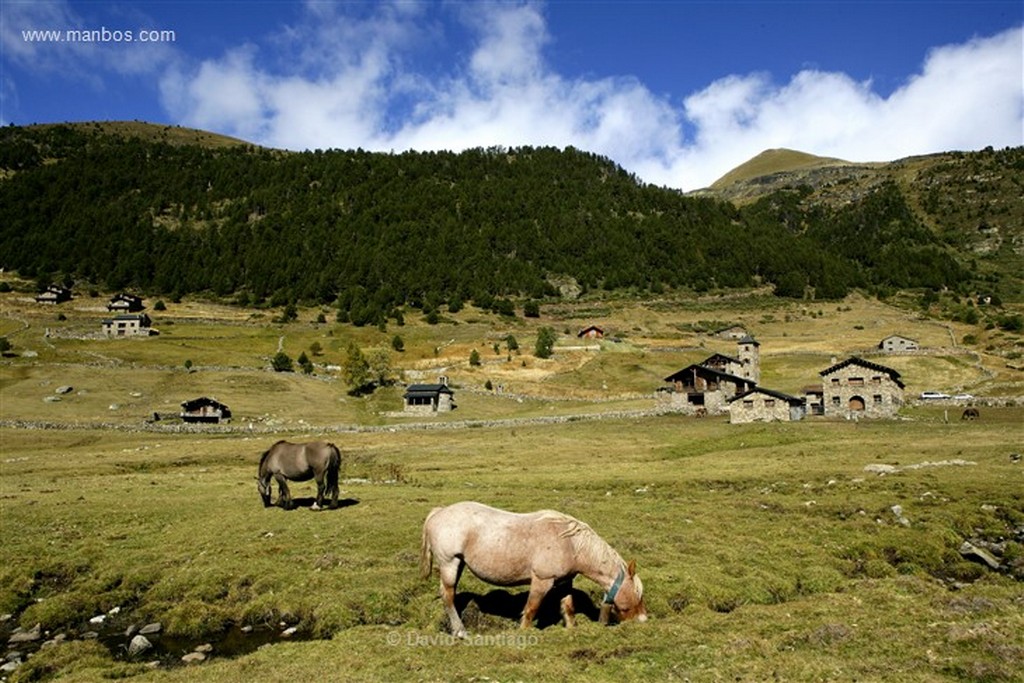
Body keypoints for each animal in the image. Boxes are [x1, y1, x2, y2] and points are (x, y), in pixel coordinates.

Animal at [417, 499, 643, 638]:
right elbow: (531, 608)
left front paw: (571, 629)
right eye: (638, 595)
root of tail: (439, 512)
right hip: (449, 564)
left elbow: (568, 606)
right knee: (448, 596)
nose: (643, 621)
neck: (570, 543)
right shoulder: (542, 581)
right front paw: (523, 632)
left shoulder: (565, 582)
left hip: (459, 564)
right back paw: (460, 631)